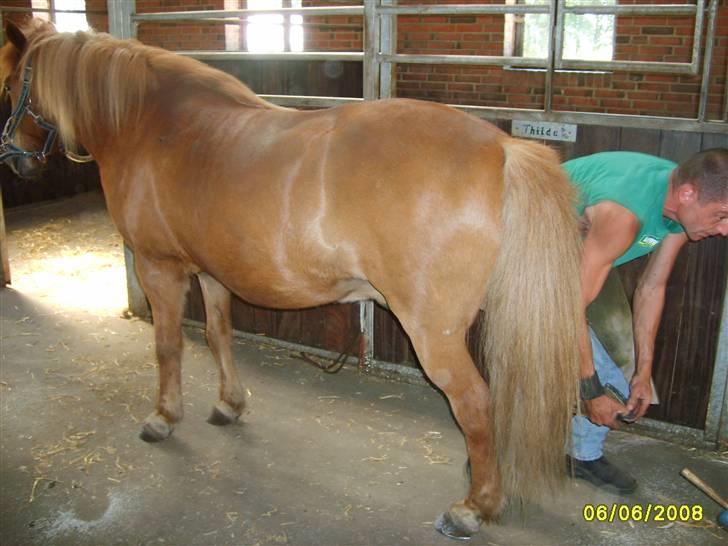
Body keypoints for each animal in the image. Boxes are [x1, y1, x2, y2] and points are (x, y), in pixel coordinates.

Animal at [0, 19, 580, 536]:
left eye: (9, 86)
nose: (14, 160)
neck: (152, 126)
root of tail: (502, 148)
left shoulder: (158, 267)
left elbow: (167, 345)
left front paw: (163, 417)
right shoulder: (212, 273)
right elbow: (219, 335)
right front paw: (229, 404)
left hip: (432, 334)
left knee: (476, 404)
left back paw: (472, 509)